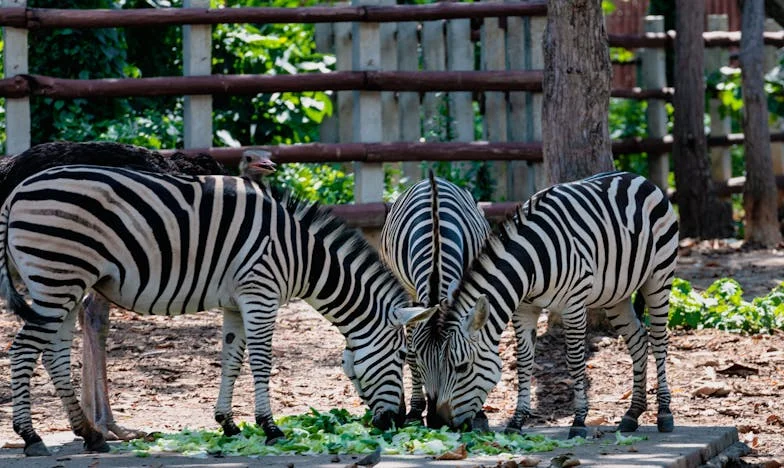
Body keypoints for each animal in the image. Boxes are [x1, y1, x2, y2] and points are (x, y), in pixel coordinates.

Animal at [0, 165, 432, 458]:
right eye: (400, 356)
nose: (395, 421)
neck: (301, 255)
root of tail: (17, 190)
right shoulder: (261, 293)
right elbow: (260, 361)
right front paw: (270, 428)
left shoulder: (235, 302)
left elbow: (231, 360)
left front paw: (228, 424)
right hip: (58, 277)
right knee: (23, 350)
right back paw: (32, 437)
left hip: (63, 284)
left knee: (53, 355)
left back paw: (89, 434)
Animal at [380, 171, 490, 428]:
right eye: (421, 360)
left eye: (451, 360)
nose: (435, 420)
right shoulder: (410, 293)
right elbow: (410, 349)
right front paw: (414, 410)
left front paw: (478, 411)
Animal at [416, 172, 680, 438]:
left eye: (461, 367)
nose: (439, 422)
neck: (529, 263)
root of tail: (637, 177)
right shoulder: (524, 309)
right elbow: (524, 361)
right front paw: (517, 421)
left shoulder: (574, 304)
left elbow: (575, 360)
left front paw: (579, 421)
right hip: (616, 296)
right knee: (638, 340)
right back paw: (632, 413)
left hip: (659, 277)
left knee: (659, 340)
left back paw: (664, 413)